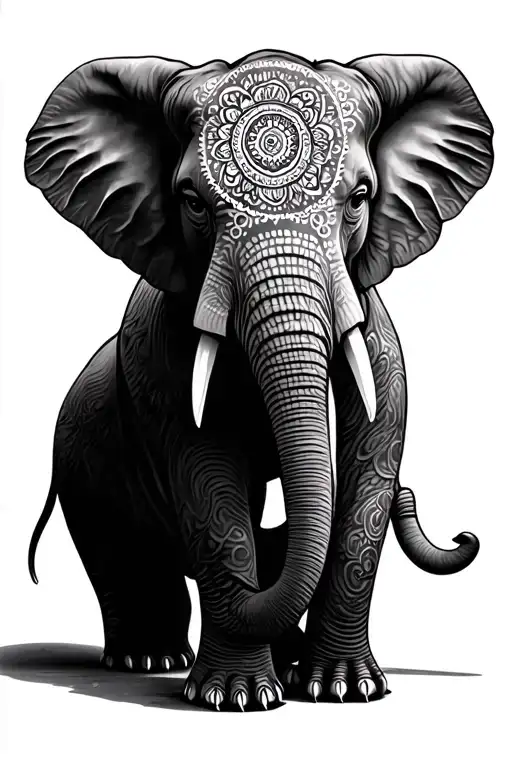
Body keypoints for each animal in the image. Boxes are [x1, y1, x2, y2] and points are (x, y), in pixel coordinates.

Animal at [25, 49, 493, 712]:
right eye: (193, 202)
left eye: (360, 198)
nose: (465, 535)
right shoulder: (165, 357)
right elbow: (209, 475)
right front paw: (238, 699)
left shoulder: (376, 333)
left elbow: (369, 466)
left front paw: (343, 690)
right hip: (81, 463)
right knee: (121, 555)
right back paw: (150, 659)